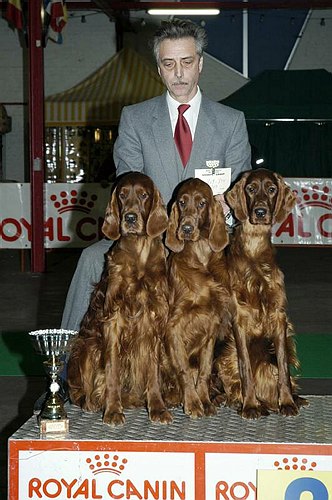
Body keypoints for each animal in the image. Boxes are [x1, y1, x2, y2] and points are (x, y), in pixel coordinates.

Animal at [66, 172, 172, 426]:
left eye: (143, 195)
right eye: (122, 195)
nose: (130, 218)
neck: (139, 255)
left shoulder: (154, 318)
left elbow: (153, 371)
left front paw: (157, 407)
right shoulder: (113, 320)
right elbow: (112, 369)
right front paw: (113, 409)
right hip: (88, 346)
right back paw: (92, 402)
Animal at [162, 178, 232, 420]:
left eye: (202, 203)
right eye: (182, 202)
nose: (186, 229)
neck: (200, 257)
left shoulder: (211, 323)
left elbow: (204, 369)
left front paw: (204, 400)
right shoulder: (173, 326)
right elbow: (183, 369)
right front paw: (192, 403)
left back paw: (216, 397)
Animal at [214, 168, 310, 418]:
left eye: (272, 189)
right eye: (250, 188)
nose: (260, 211)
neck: (254, 250)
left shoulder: (278, 317)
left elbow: (283, 367)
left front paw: (287, 402)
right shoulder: (239, 320)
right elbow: (245, 367)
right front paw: (250, 405)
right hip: (226, 354)